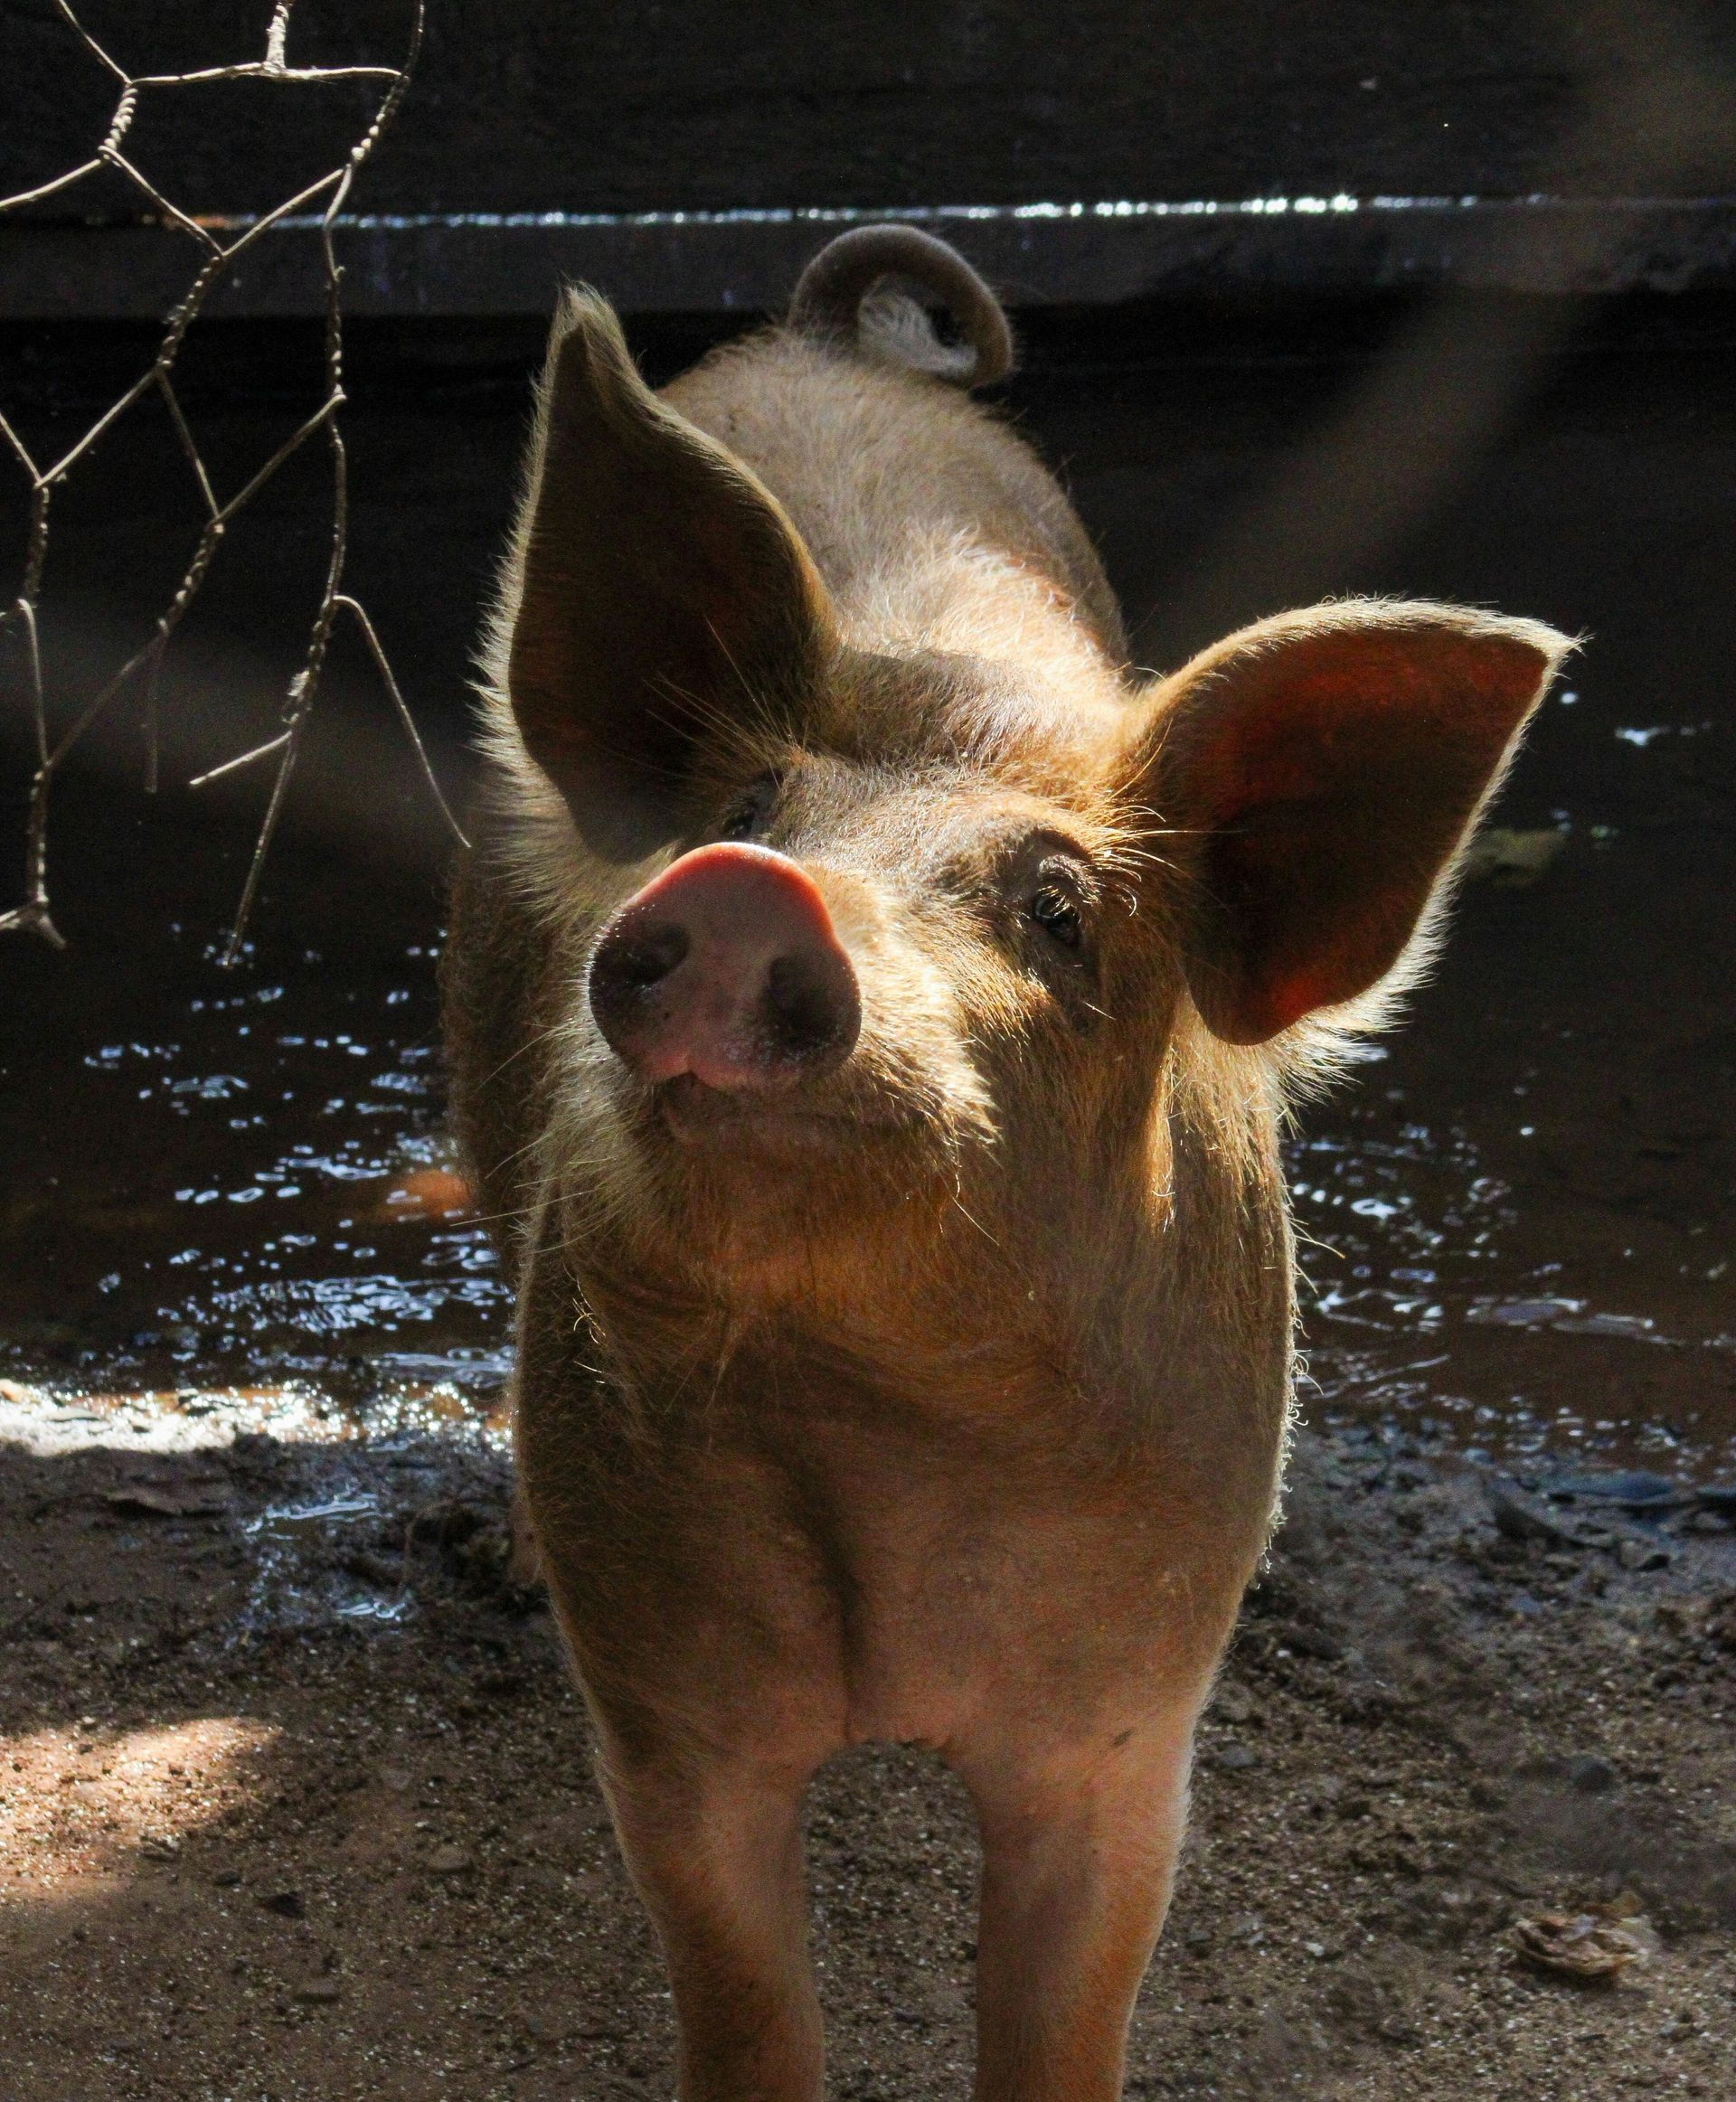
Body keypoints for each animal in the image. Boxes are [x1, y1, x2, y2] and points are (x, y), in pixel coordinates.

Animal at [442, 223, 1570, 2101]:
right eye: (745, 806)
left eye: (1057, 907)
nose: (752, 888)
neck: (884, 1431)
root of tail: (828, 334)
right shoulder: (671, 1715)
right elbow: (743, 1992)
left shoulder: (1126, 1725)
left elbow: (1065, 1999)